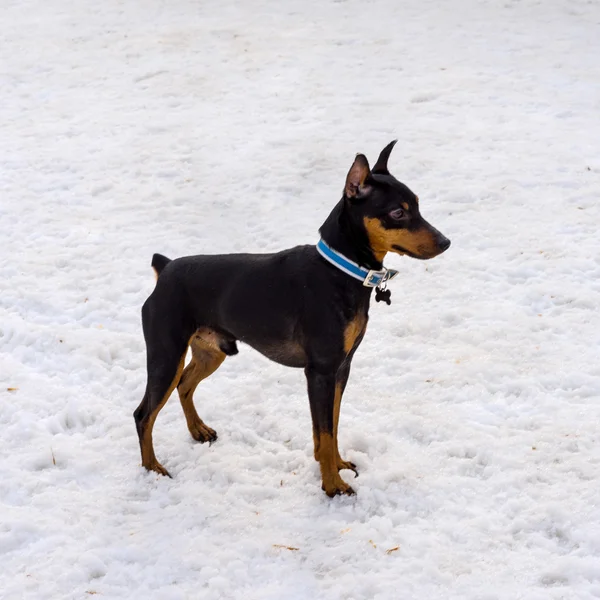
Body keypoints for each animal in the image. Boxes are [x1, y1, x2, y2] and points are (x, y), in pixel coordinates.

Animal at [132, 142, 450, 496]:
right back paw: (152, 469)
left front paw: (337, 466)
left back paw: (198, 431)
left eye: (418, 205)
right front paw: (333, 486)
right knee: (143, 414)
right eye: (397, 213)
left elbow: (331, 427)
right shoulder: (321, 371)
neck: (340, 270)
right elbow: (325, 431)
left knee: (185, 385)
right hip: (166, 354)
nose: (445, 242)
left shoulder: (341, 368)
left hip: (210, 351)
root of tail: (166, 269)